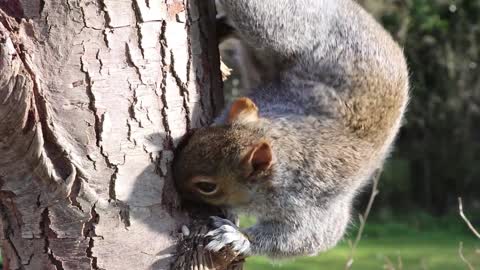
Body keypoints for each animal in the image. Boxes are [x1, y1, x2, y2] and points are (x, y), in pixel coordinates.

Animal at [172, 0, 408, 258]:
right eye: (195, 137)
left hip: (283, 30)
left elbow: (310, 238)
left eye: (207, 186)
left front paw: (238, 237)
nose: (173, 184)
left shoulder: (313, 204)